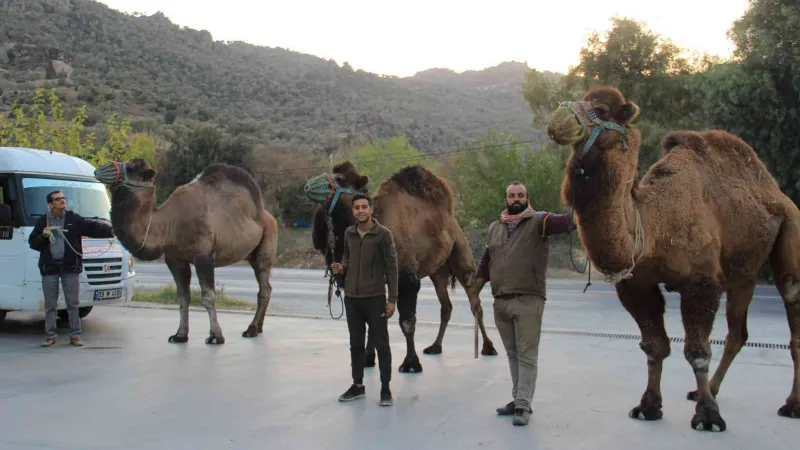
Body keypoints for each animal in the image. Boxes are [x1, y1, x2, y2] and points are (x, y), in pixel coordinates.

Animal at [94, 158, 278, 344]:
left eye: (131, 169)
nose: (99, 170)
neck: (169, 223)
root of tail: (268, 216)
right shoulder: (175, 260)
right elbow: (183, 297)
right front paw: (180, 335)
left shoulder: (204, 256)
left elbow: (208, 296)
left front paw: (216, 336)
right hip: (252, 254)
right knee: (267, 288)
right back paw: (258, 328)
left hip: (266, 247)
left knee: (264, 288)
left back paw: (251, 329)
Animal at [304, 162, 494, 372]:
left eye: (340, 179)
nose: (308, 185)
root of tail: (451, 218)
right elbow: (374, 319)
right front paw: (368, 359)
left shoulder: (406, 276)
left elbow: (407, 321)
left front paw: (410, 363)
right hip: (438, 271)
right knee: (446, 305)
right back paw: (435, 347)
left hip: (461, 254)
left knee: (474, 300)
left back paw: (488, 347)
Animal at [544, 85, 800, 432]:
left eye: (602, 109)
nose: (558, 121)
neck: (653, 225)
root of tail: (778, 193)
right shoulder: (636, 285)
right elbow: (655, 346)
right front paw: (648, 406)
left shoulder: (701, 283)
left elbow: (697, 351)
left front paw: (708, 417)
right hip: (743, 274)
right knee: (737, 334)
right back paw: (708, 390)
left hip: (791, 235)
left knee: (791, 307)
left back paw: (790, 404)